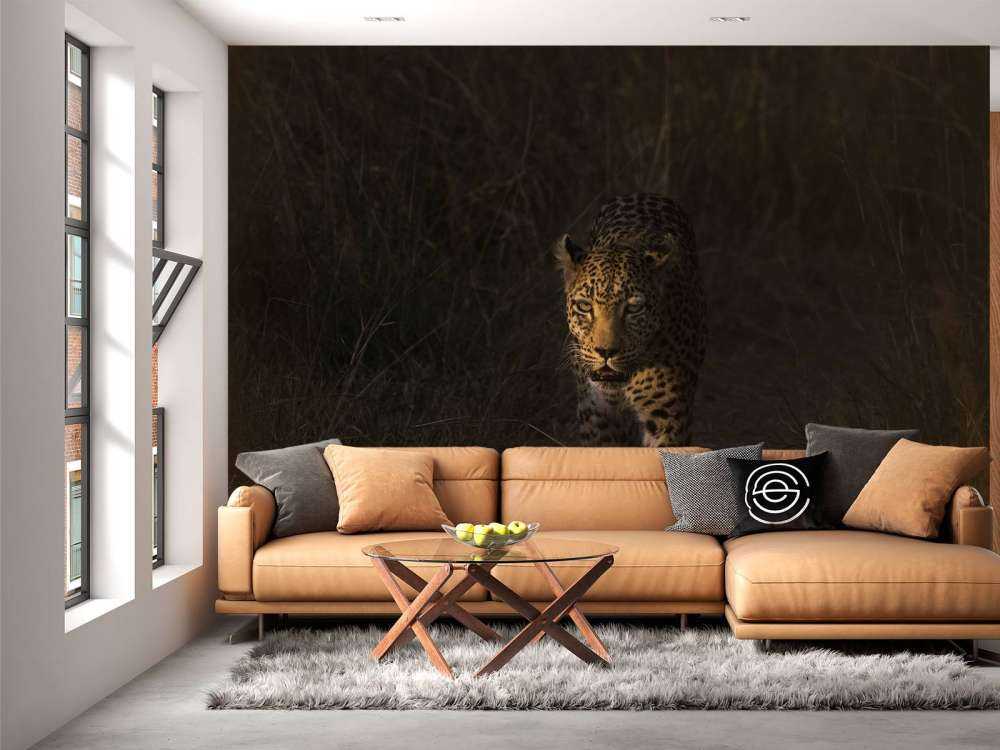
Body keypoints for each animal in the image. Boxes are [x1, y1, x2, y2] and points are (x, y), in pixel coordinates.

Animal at [554, 193, 706, 447]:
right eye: (585, 306)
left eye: (634, 308)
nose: (606, 352)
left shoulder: (668, 416)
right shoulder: (597, 416)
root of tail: (646, 194)